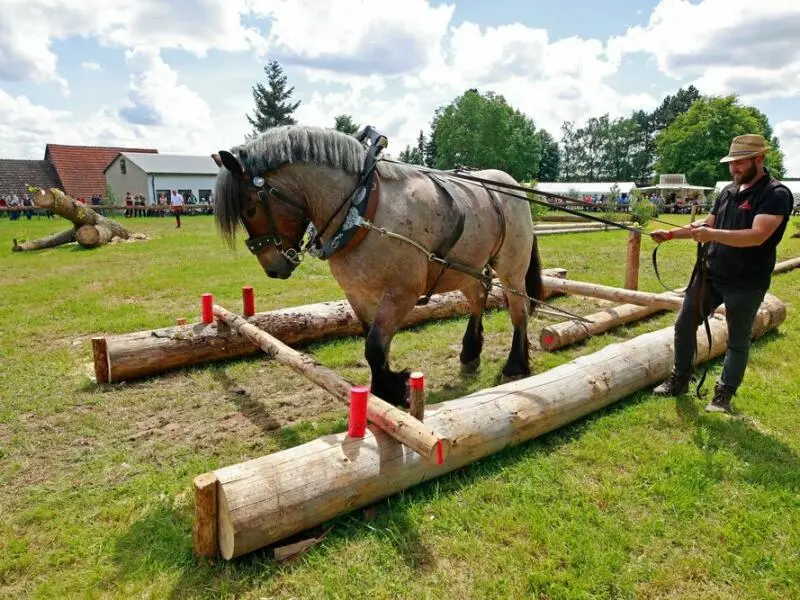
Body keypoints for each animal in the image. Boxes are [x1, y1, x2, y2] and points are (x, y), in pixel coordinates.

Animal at [211, 126, 544, 408]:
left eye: (251, 209)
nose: (273, 268)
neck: (362, 208)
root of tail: (512, 185)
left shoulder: (402, 293)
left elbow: (374, 345)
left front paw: (394, 389)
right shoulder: (358, 294)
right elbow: (373, 343)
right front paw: (386, 389)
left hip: (511, 266)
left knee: (518, 309)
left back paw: (515, 364)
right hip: (466, 267)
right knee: (478, 297)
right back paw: (470, 353)